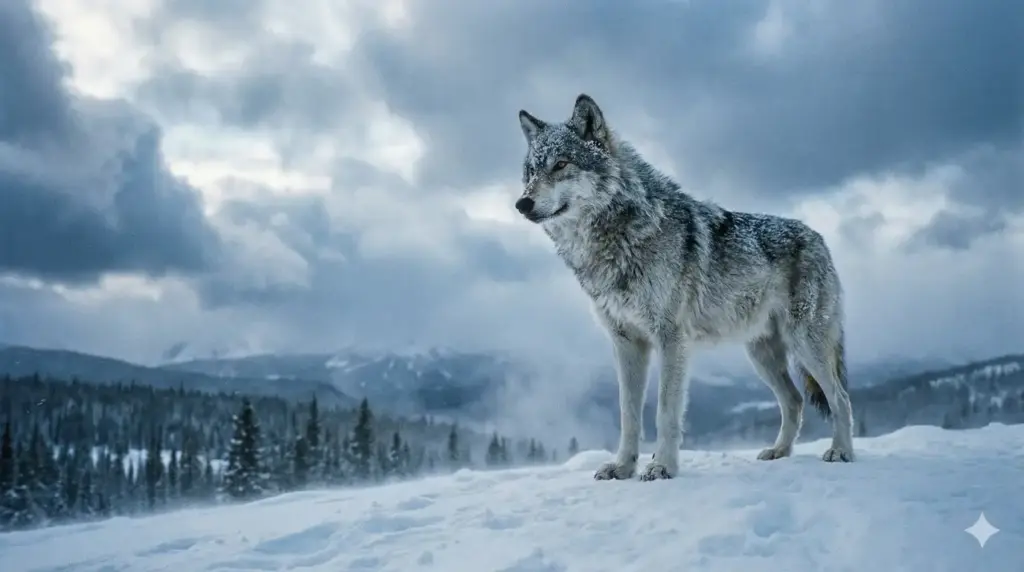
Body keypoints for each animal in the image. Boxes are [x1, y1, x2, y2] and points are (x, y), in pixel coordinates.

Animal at [514, 94, 856, 481]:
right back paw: (779, 452)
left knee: (840, 398)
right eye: (531, 172)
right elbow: (628, 415)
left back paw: (841, 451)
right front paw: (623, 467)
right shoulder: (625, 343)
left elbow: (665, 411)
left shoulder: (671, 339)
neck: (619, 235)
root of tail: (818, 237)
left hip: (805, 344)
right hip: (761, 354)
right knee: (795, 401)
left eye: (561, 164)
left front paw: (662, 466)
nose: (522, 203)